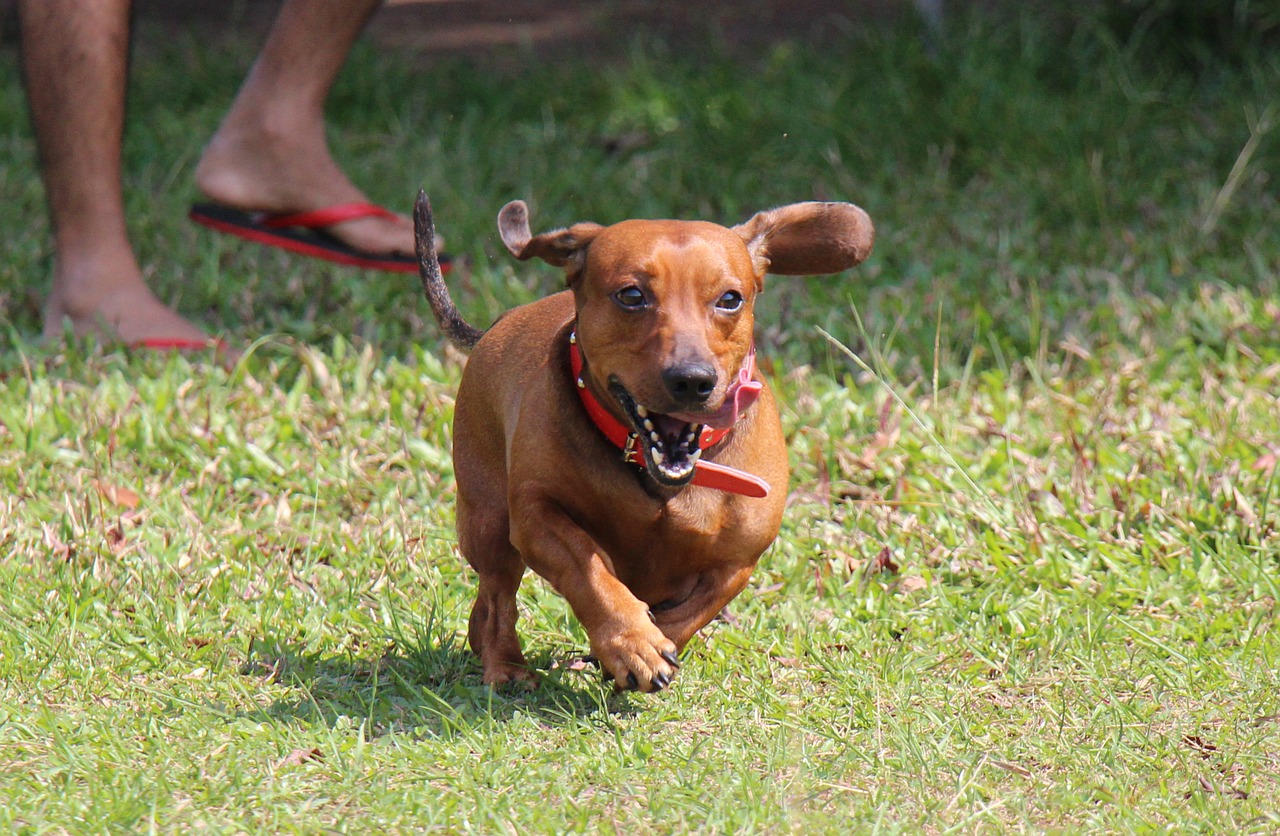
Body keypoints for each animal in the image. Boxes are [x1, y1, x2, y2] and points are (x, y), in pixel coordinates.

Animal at [414, 190, 875, 691]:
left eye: (730, 299)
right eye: (632, 295)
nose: (692, 380)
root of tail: (498, 324)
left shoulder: (737, 562)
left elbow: (690, 614)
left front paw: (641, 645)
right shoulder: (537, 516)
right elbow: (591, 572)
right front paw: (632, 642)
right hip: (489, 520)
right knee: (498, 597)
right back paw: (505, 666)